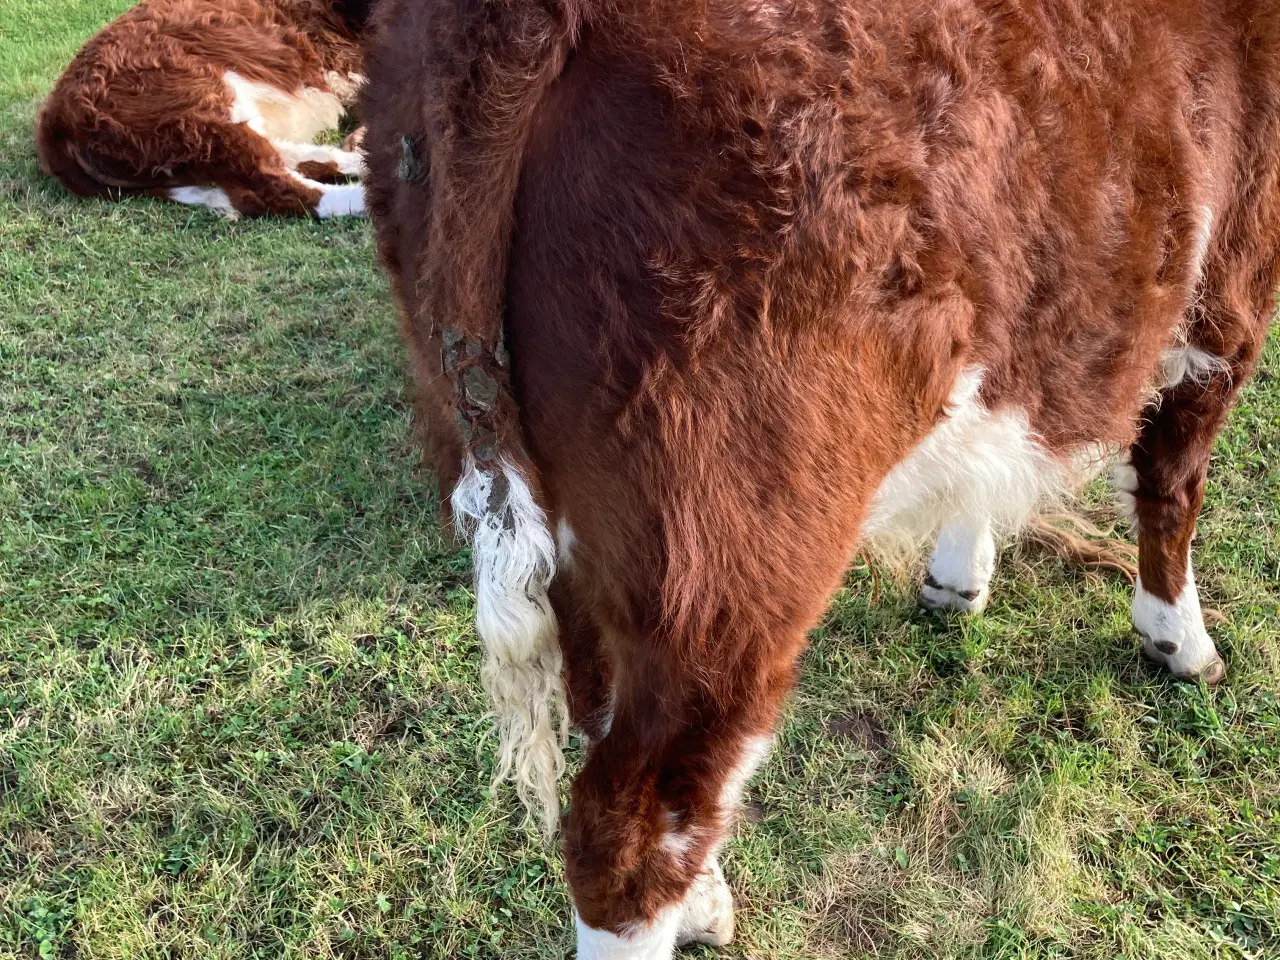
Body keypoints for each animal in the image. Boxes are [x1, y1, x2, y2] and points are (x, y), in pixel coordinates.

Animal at [358, 0, 1280, 957]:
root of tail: (516, 17)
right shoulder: (1232, 287)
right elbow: (1173, 482)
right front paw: (1179, 639)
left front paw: (959, 578)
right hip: (727, 553)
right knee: (631, 826)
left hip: (564, 508)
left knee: (610, 712)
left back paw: (703, 897)